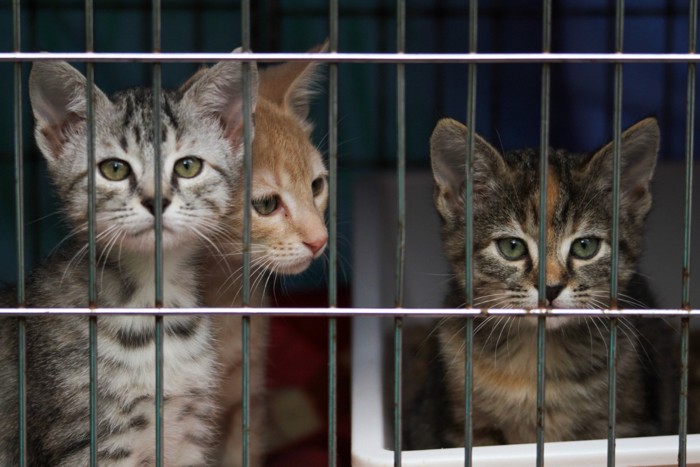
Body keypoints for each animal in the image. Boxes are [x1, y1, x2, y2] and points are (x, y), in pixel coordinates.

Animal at [404, 117, 680, 450]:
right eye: (511, 247)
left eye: (585, 246)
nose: (550, 288)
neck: (537, 356)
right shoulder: (468, 428)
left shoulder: (626, 422)